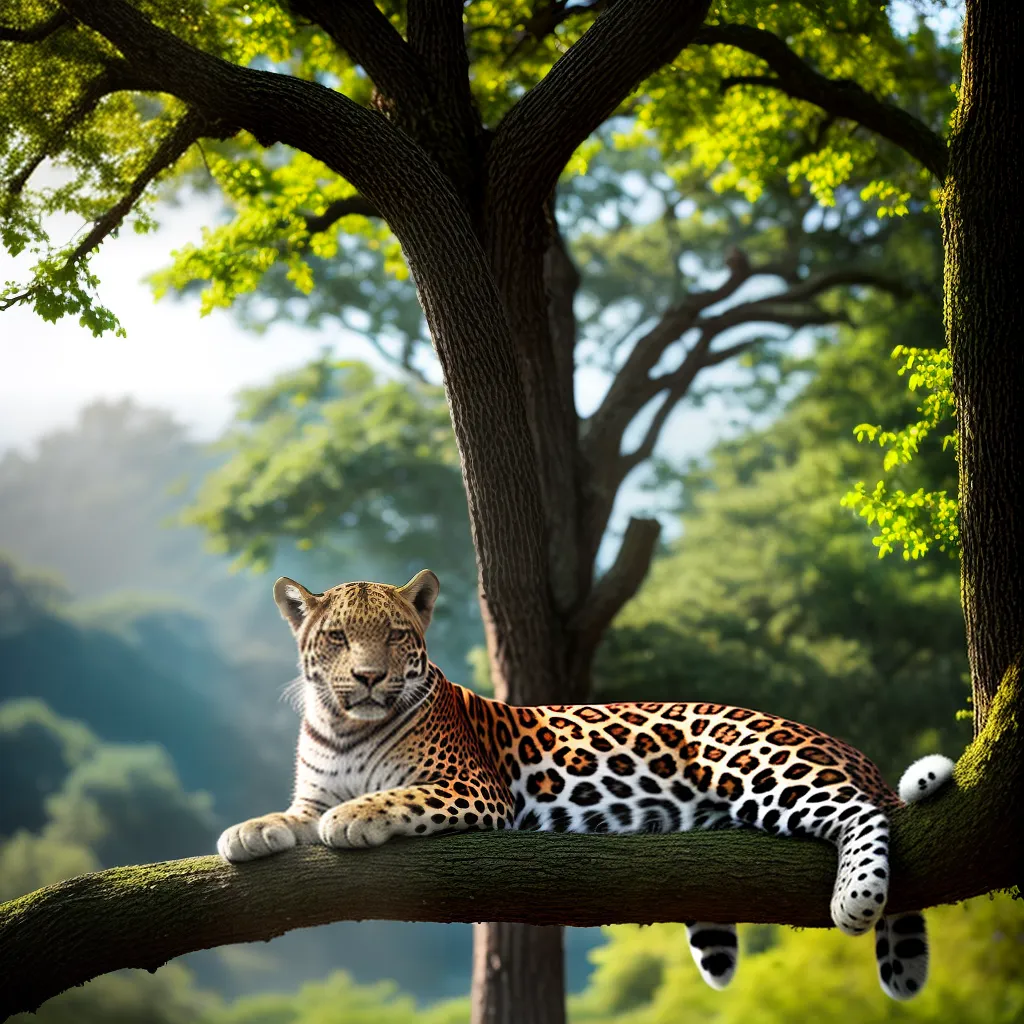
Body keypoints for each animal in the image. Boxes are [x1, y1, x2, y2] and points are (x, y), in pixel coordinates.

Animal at [218, 570, 954, 1001]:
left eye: (398, 635)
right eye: (339, 638)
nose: (369, 678)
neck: (346, 727)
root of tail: (833, 739)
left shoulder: (470, 787)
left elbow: (391, 797)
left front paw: (355, 817)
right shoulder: (311, 794)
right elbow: (289, 815)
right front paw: (247, 832)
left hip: (755, 763)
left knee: (863, 811)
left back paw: (856, 897)